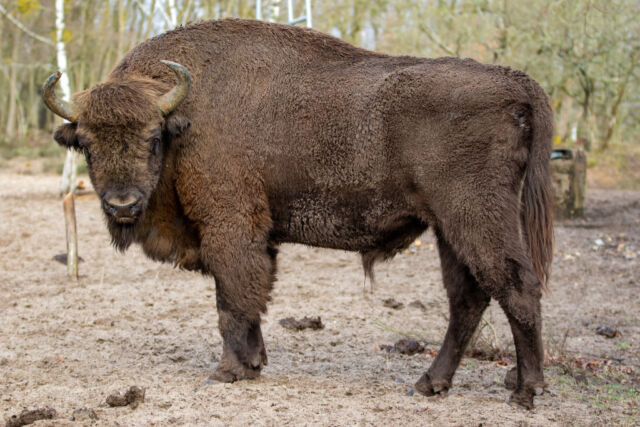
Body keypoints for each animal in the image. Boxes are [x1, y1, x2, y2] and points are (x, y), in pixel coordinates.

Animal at [42, 18, 552, 410]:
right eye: (85, 143)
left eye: (153, 138)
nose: (122, 204)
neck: (185, 114)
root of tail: (517, 82)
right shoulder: (258, 237)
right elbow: (251, 298)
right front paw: (254, 363)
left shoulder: (229, 226)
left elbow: (231, 299)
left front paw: (227, 371)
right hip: (449, 229)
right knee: (468, 298)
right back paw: (431, 384)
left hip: (476, 218)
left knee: (516, 287)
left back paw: (525, 392)